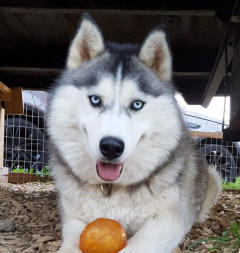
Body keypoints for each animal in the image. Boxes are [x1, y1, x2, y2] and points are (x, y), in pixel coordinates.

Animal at [47, 13, 221, 253]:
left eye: (137, 104)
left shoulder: (170, 221)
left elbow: (135, 247)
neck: (111, 189)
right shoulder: (73, 218)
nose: (111, 147)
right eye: (95, 99)